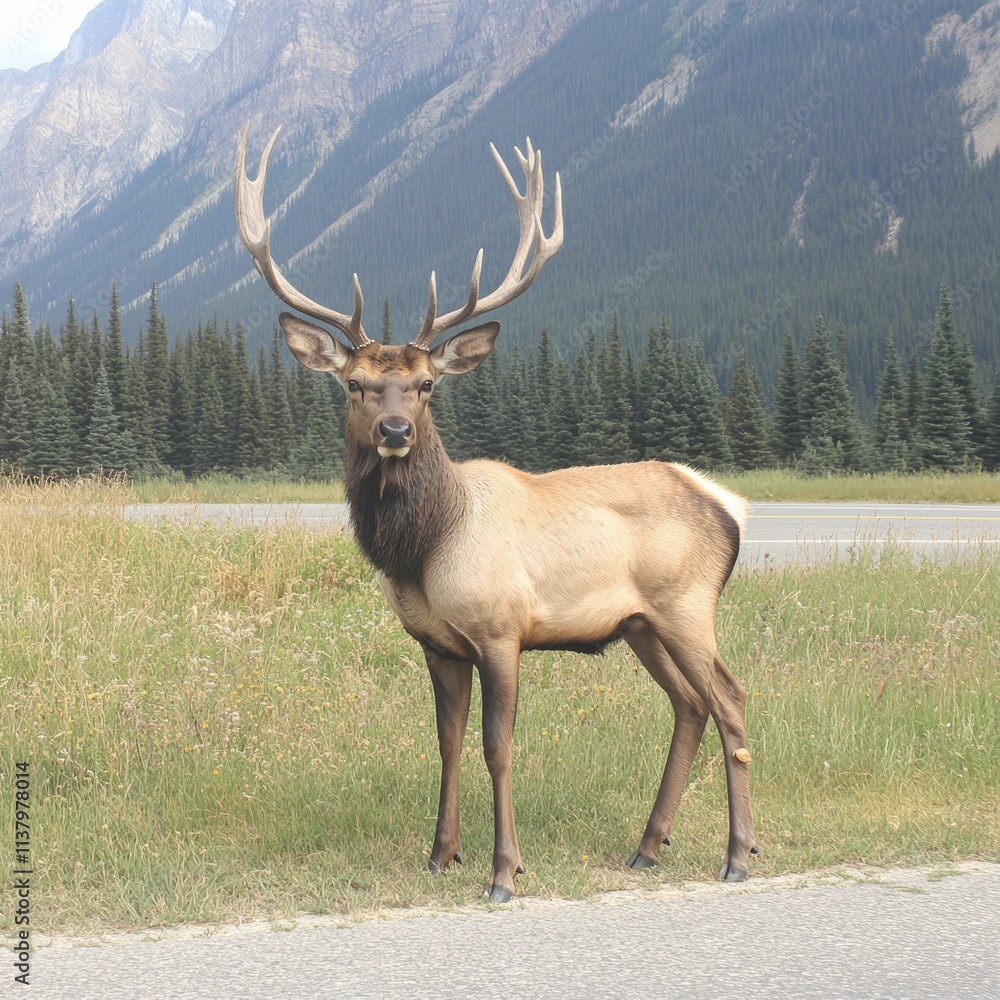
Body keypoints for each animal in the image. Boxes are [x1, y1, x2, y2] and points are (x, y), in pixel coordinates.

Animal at [235, 125, 758, 902]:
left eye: (426, 384)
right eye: (356, 384)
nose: (396, 431)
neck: (426, 547)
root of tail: (728, 505)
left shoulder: (501, 629)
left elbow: (497, 745)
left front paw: (505, 869)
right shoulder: (437, 643)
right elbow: (447, 742)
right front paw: (440, 853)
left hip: (687, 603)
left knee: (729, 698)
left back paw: (738, 853)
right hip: (641, 623)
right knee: (689, 705)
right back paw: (647, 846)